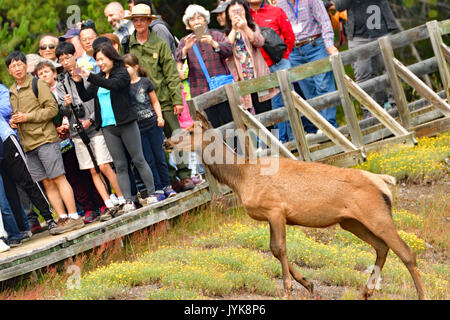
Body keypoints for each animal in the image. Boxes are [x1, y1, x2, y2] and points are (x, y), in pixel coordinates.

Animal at [167, 110, 428, 300]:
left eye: (191, 130)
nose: (168, 142)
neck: (241, 178)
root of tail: (384, 181)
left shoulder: (275, 209)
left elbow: (279, 248)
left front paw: (288, 289)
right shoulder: (273, 215)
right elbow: (274, 250)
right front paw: (308, 284)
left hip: (376, 214)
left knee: (407, 253)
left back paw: (420, 295)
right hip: (351, 222)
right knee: (382, 247)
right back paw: (366, 291)